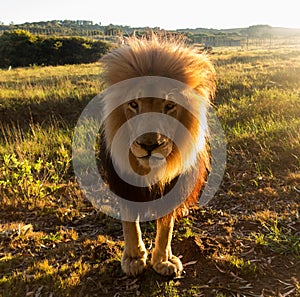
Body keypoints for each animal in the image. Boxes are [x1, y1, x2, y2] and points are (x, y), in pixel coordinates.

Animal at [98, 35, 216, 276]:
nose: (149, 145)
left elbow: (166, 226)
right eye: (134, 104)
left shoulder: (175, 183)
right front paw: (134, 258)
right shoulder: (122, 181)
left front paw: (163, 261)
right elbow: (129, 222)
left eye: (169, 105)